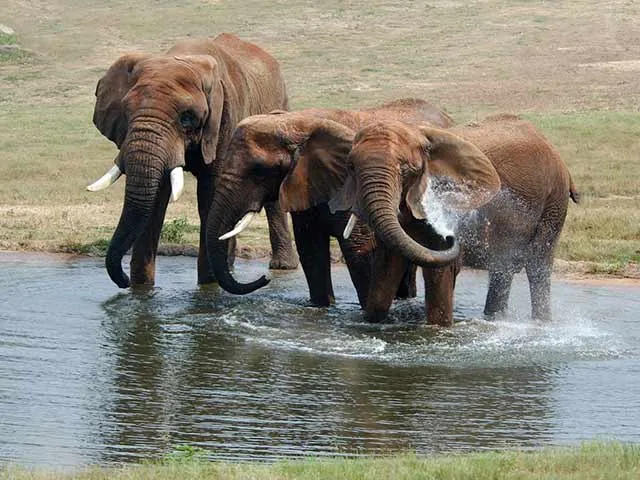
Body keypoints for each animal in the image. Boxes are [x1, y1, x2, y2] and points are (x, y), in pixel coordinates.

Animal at [87, 33, 298, 289]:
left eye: (187, 118)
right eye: (126, 112)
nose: (124, 281)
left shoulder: (225, 117)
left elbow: (210, 194)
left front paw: (208, 286)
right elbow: (156, 199)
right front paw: (142, 289)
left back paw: (281, 267)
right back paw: (230, 267)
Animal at [204, 98, 457, 306]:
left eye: (258, 170)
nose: (265, 278)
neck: (296, 122)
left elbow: (358, 250)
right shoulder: (305, 183)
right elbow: (310, 247)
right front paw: (322, 307)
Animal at [336, 114, 579, 325]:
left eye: (406, 170)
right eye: (351, 167)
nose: (452, 237)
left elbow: (440, 276)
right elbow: (386, 268)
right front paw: (372, 321)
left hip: (553, 204)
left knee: (538, 265)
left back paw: (540, 323)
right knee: (503, 268)